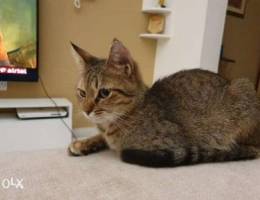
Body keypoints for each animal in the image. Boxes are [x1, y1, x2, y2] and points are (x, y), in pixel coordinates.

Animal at [68, 38, 260, 166]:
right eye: (82, 93)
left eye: (104, 93)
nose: (86, 110)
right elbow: (100, 138)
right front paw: (83, 143)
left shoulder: (171, 143)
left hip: (244, 88)